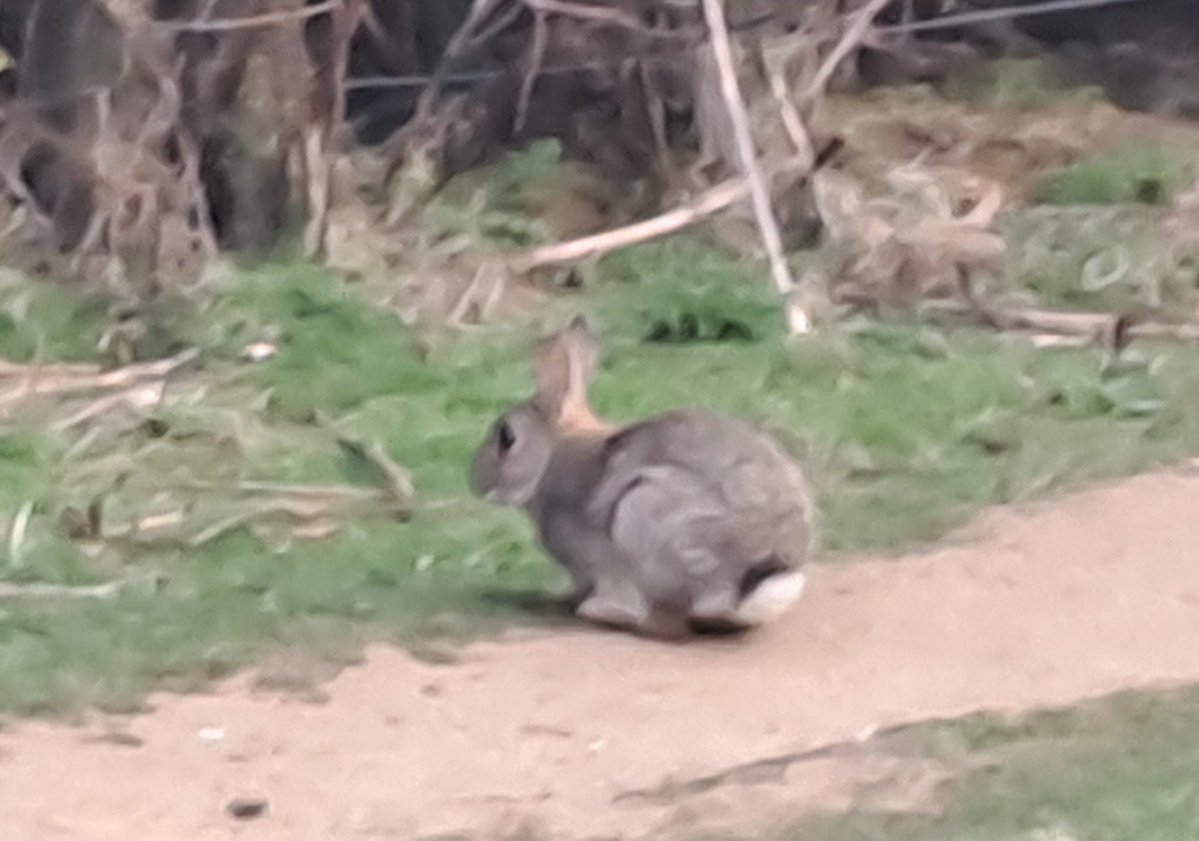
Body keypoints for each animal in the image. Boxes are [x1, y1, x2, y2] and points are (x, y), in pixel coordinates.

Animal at [469, 316, 817, 639]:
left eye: (506, 437)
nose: (475, 482)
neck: (552, 456)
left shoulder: (598, 560)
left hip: (645, 510)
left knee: (665, 620)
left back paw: (600, 612)